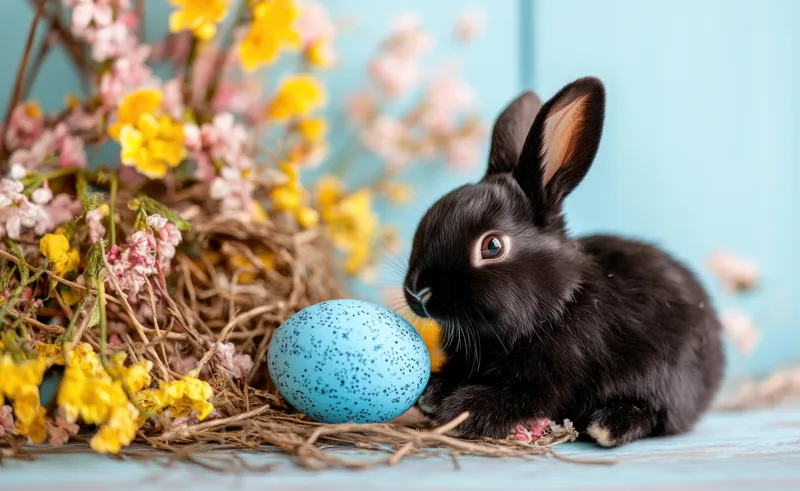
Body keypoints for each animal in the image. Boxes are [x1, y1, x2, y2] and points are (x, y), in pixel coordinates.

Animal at [403, 77, 725, 447]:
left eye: (492, 246)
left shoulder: (552, 379)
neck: (558, 302)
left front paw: (464, 411)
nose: (418, 293)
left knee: (655, 414)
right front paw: (432, 394)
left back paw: (609, 425)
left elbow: (522, 397)